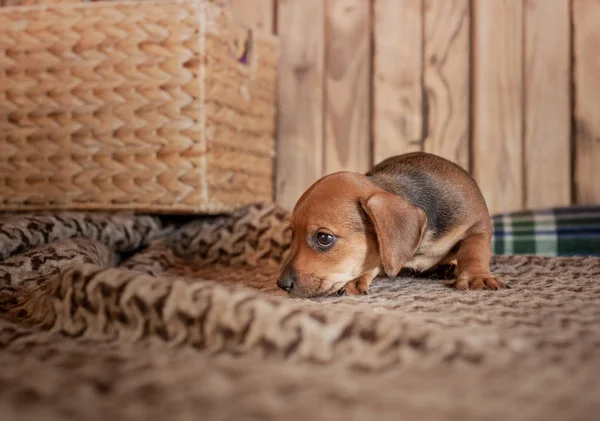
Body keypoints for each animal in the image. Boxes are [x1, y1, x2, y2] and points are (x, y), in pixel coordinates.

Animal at [276, 151, 506, 296]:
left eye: (324, 238)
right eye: (292, 233)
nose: (281, 284)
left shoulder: (477, 224)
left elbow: (472, 250)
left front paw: (477, 277)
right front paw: (355, 279)